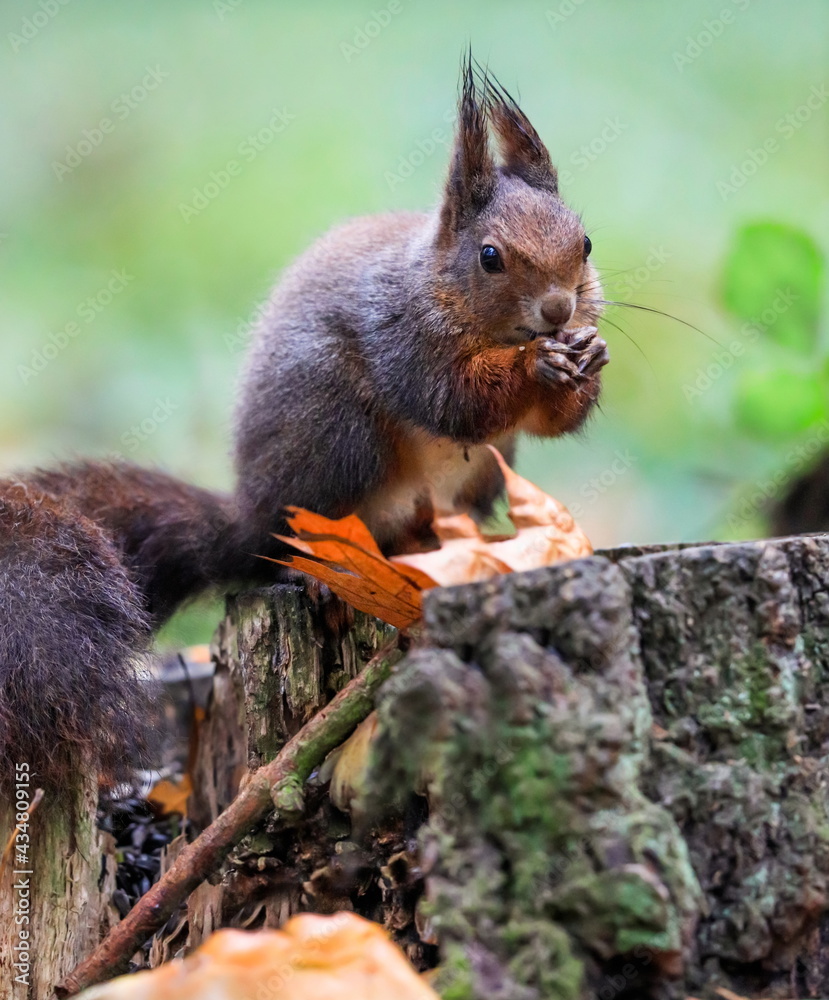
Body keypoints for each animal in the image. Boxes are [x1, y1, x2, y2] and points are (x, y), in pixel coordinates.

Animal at [0, 58, 607, 788]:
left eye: (585, 242)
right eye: (490, 256)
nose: (558, 310)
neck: (454, 295)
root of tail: (250, 517)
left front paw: (588, 360)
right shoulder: (404, 337)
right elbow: (453, 403)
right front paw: (535, 368)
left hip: (484, 473)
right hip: (336, 436)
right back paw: (319, 571)